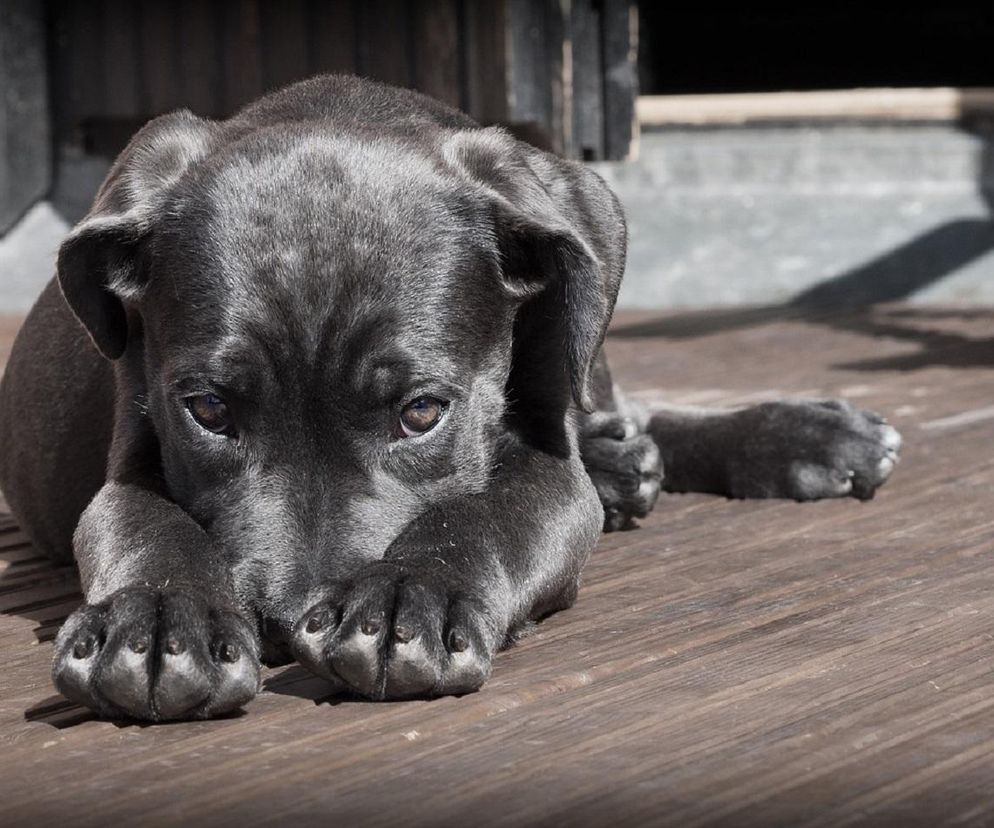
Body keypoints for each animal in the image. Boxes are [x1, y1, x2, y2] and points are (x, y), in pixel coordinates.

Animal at [0, 79, 900, 724]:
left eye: (423, 413)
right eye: (210, 412)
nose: (287, 625)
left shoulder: (547, 467)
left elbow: (487, 512)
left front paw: (411, 596)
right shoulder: (131, 449)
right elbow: (143, 522)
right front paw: (155, 621)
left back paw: (800, 436)